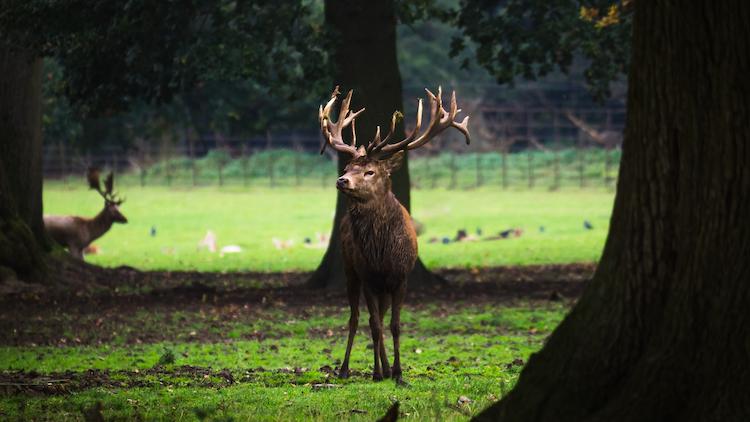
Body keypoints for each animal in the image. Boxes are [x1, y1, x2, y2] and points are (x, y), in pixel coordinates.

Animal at [319, 86, 469, 383]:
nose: (342, 180)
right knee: (355, 318)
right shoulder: (368, 276)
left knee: (378, 316)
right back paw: (346, 369)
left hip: (383, 286)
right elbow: (375, 325)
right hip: (351, 269)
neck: (381, 253)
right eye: (346, 168)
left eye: (370, 171)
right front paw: (377, 373)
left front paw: (399, 373)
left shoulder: (401, 277)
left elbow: (396, 325)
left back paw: (387, 367)